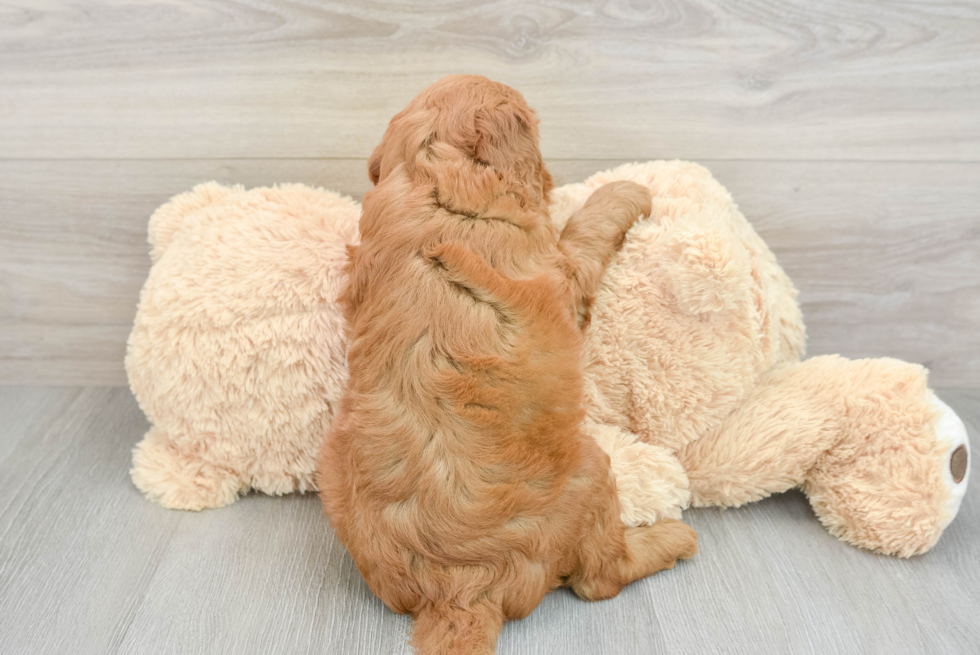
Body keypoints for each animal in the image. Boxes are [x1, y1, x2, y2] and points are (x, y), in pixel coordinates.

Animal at [316, 78, 696, 655]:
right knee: (599, 579)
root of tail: (460, 589)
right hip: (591, 474)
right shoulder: (561, 271)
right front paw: (624, 191)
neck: (435, 184)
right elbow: (586, 230)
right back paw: (671, 538)